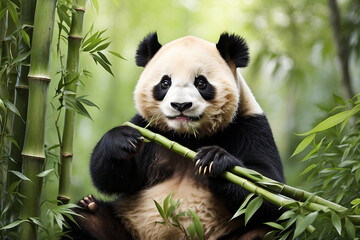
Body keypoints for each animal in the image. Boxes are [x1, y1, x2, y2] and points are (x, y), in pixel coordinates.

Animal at [67, 32, 286, 240]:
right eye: (165, 82)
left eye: (201, 82)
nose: (181, 105)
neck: (187, 137)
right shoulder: (149, 129)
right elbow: (115, 178)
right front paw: (121, 140)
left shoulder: (250, 126)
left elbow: (267, 190)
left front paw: (215, 160)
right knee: (80, 219)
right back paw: (90, 207)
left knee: (265, 231)